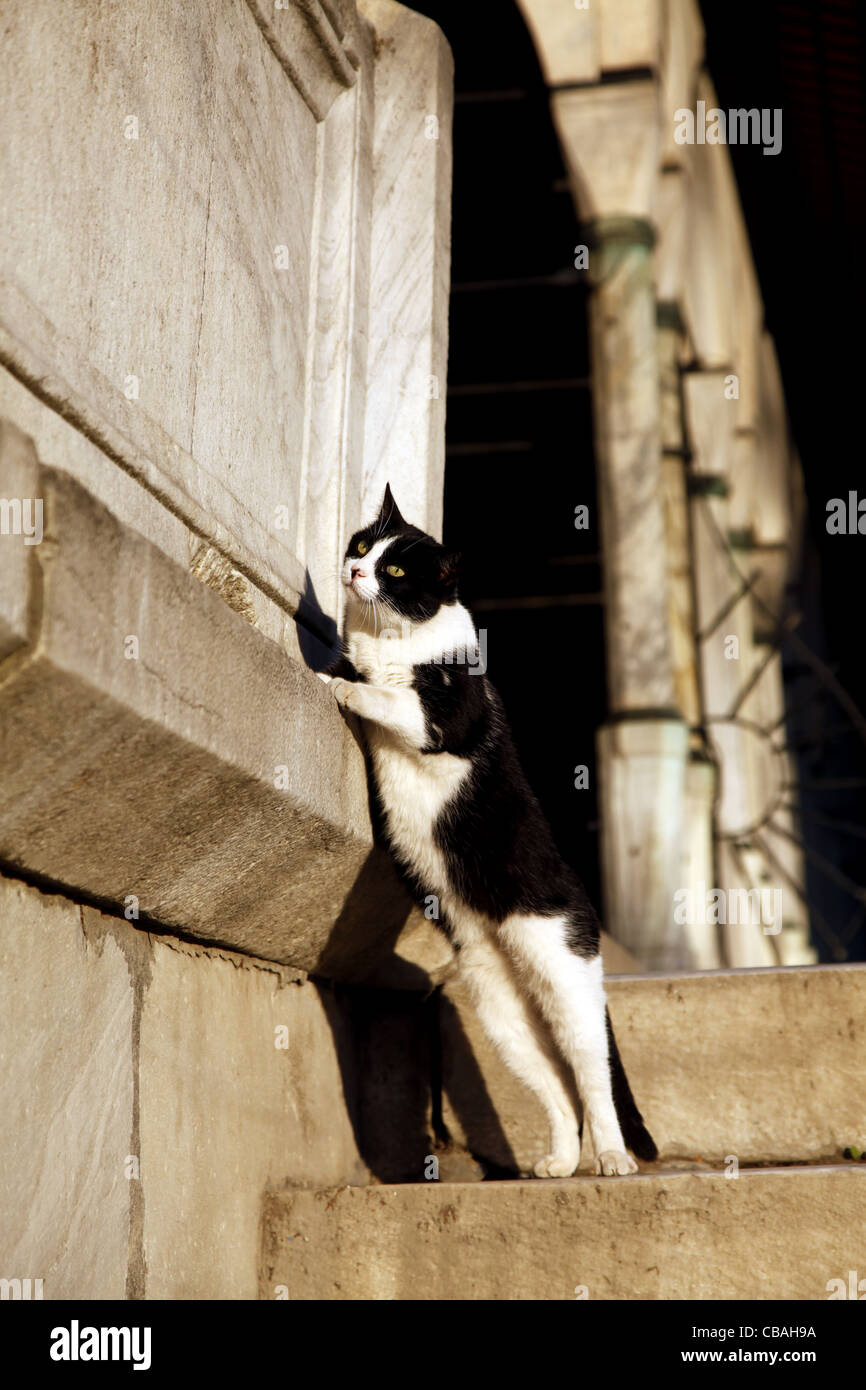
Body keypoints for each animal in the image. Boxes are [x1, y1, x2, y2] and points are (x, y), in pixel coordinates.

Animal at [319, 483, 656, 1178]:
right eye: (363, 544)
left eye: (397, 571)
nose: (357, 571)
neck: (390, 641)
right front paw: (337, 665)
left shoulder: (445, 723)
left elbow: (388, 700)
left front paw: (337, 684)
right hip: (500, 1010)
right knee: (555, 1087)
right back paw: (559, 1163)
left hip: (567, 980)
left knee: (592, 1076)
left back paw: (612, 1158)